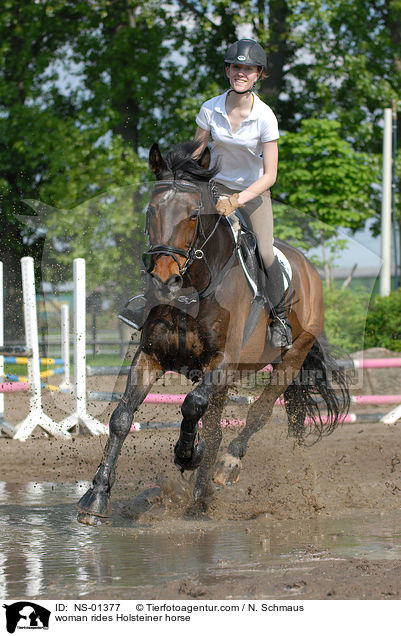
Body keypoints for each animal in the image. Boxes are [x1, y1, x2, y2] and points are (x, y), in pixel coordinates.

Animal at [76, 142, 348, 524]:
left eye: (193, 215)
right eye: (151, 211)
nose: (165, 281)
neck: (194, 290)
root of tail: (309, 268)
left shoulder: (219, 362)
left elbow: (192, 405)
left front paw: (186, 454)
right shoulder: (151, 357)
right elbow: (121, 418)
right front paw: (96, 496)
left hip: (291, 357)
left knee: (258, 412)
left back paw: (226, 467)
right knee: (217, 425)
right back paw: (201, 497)